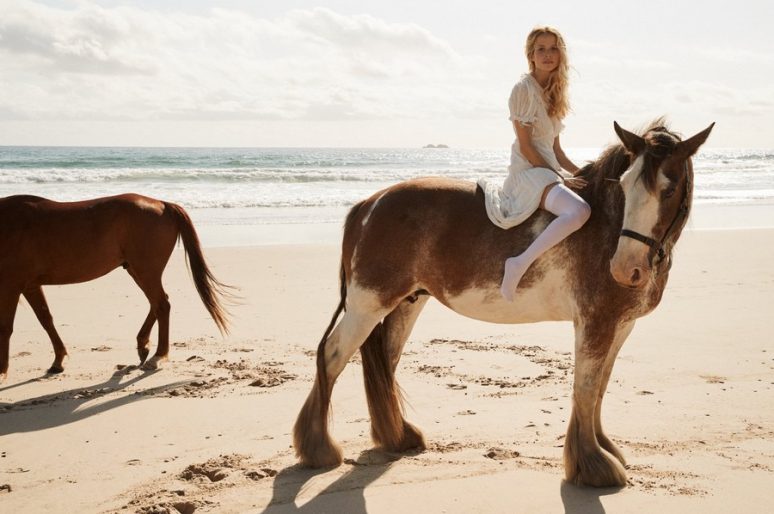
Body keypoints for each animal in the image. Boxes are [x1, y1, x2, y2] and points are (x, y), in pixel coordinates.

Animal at [0, 194, 230, 382]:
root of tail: (163, 204)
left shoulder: (12, 285)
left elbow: (6, 327)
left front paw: (2, 371)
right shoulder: (30, 285)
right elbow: (46, 319)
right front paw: (58, 361)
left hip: (145, 270)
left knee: (162, 305)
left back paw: (158, 355)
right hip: (136, 270)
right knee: (156, 303)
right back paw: (143, 346)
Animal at [296, 119, 716, 484]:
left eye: (669, 188)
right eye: (626, 185)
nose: (626, 268)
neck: (607, 228)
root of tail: (370, 203)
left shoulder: (620, 326)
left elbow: (598, 388)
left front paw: (604, 450)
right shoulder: (596, 324)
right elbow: (585, 387)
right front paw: (593, 466)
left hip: (406, 303)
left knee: (386, 357)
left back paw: (396, 438)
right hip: (368, 306)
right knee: (332, 355)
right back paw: (319, 450)